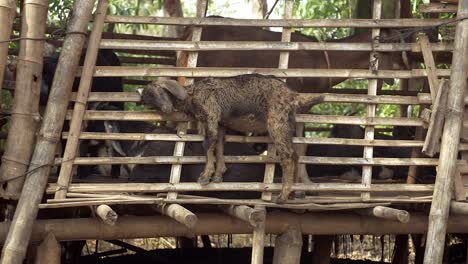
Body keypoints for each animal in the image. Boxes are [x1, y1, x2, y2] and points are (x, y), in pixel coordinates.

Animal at [143, 74, 324, 202]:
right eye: (148, 99)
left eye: (158, 91)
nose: (166, 109)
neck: (191, 95)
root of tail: (294, 95)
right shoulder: (221, 123)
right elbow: (219, 146)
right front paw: (218, 175)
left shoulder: (211, 115)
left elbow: (208, 144)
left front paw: (205, 177)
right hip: (287, 124)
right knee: (295, 155)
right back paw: (292, 194)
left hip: (276, 121)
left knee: (287, 155)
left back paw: (282, 197)